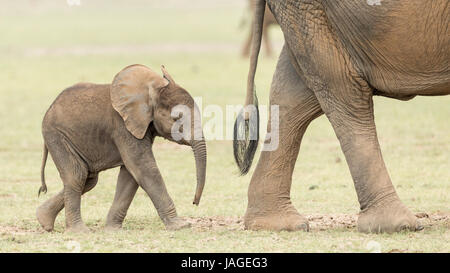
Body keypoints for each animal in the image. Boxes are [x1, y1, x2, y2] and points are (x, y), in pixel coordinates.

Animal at [37, 64, 206, 232]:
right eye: (176, 118)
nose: (194, 202)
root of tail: (50, 108)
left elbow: (130, 173)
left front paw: (113, 229)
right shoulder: (122, 126)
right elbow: (143, 167)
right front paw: (181, 226)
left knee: (89, 179)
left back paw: (43, 220)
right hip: (56, 135)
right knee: (77, 176)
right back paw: (79, 231)